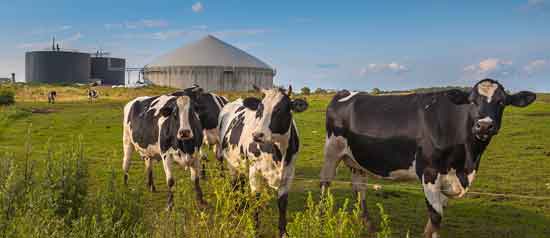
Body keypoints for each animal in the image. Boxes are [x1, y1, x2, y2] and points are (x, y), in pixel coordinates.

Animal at [218, 86, 308, 237]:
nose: (257, 135)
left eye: (280, 109)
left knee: (241, 184)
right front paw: (255, 231)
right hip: (232, 164)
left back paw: (242, 207)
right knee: (235, 186)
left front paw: (283, 233)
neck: (278, 153)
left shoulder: (288, 175)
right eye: (259, 109)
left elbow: (282, 206)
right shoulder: (255, 172)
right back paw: (236, 212)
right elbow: (256, 202)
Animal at [322, 79, 536, 238]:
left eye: (502, 102)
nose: (484, 126)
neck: (466, 162)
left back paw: (368, 226)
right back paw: (322, 216)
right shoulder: (429, 172)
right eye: (472, 101)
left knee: (359, 190)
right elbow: (435, 217)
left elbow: (437, 218)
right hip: (332, 151)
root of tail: (346, 92)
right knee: (326, 183)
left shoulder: (448, 178)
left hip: (356, 161)